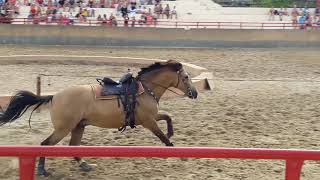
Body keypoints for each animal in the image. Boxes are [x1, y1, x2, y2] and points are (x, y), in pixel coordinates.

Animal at [0, 59, 198, 176]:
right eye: (186, 77)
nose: (194, 93)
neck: (144, 89)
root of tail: (54, 96)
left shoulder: (151, 117)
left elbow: (168, 117)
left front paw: (172, 133)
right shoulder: (148, 122)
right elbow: (163, 137)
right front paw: (180, 154)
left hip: (78, 126)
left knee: (73, 146)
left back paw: (84, 165)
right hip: (63, 128)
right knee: (46, 144)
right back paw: (42, 170)